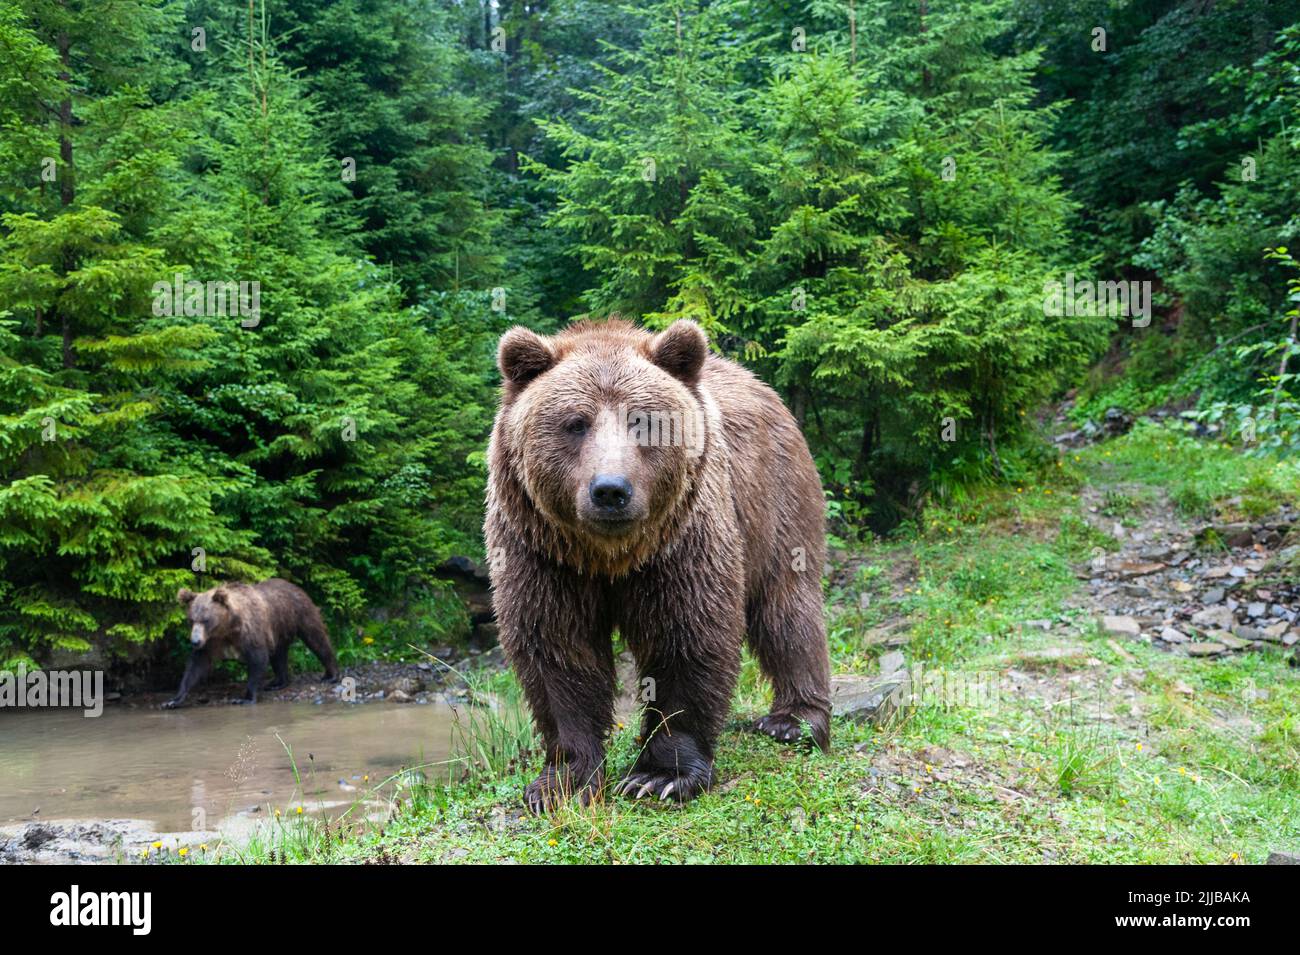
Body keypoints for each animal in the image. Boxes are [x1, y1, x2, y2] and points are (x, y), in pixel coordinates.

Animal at [163, 579, 340, 708]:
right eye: (191, 620)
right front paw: (173, 700)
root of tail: (293, 585)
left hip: (299, 613)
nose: (194, 641)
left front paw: (245, 698)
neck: (227, 628)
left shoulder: (249, 632)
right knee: (279, 655)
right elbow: (195, 665)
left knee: (317, 639)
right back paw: (277, 683)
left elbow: (258, 658)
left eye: (206, 620)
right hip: (278, 630)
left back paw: (331, 675)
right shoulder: (211, 641)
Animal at [485, 317, 831, 812]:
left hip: (776, 496)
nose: (610, 489)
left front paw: (660, 776)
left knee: (787, 605)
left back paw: (793, 720)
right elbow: (557, 647)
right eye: (575, 423)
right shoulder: (542, 553)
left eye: (642, 420)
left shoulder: (682, 545)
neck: (609, 554)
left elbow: (685, 635)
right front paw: (561, 780)